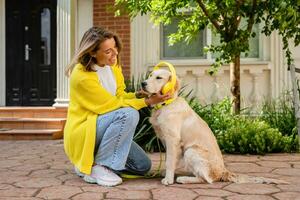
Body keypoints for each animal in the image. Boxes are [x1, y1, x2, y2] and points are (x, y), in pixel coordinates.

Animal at [142, 69, 288, 186]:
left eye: (159, 78)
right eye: (150, 75)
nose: (143, 83)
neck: (165, 104)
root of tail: (224, 171)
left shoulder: (172, 139)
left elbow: (170, 161)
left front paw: (168, 179)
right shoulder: (167, 140)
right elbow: (170, 159)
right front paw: (166, 173)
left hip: (191, 151)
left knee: (207, 179)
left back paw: (184, 179)